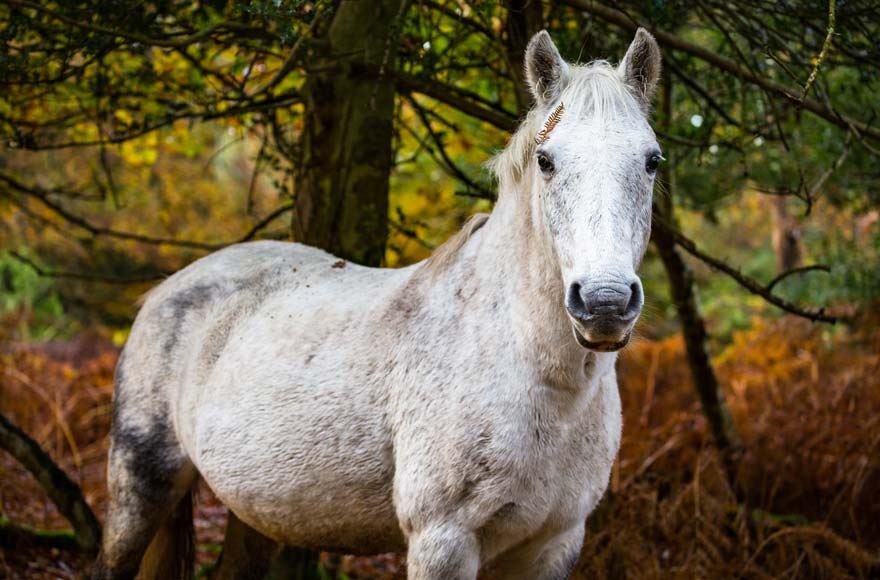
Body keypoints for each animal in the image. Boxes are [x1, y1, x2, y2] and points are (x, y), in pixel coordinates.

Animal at [94, 28, 660, 580]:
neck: (536, 375)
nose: (605, 302)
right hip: (139, 487)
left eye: (652, 161)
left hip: (255, 510)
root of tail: (167, 289)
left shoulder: (554, 544)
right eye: (545, 161)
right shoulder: (442, 541)